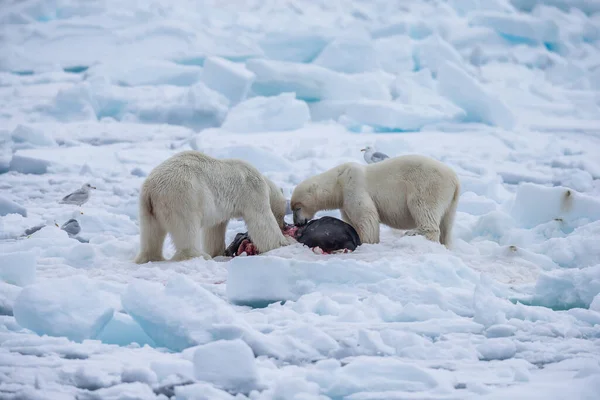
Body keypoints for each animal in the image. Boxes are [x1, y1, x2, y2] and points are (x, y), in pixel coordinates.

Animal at [133, 149, 290, 262]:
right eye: (281, 215)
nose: (284, 225)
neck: (265, 183)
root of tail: (152, 190)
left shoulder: (220, 211)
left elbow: (215, 230)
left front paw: (218, 252)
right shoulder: (253, 192)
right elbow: (262, 221)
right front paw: (284, 242)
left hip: (147, 207)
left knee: (151, 232)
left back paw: (152, 257)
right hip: (182, 197)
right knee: (186, 228)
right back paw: (198, 255)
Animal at [290, 155, 460, 247]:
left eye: (297, 208)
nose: (297, 223)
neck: (338, 181)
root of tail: (455, 179)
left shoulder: (353, 185)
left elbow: (366, 215)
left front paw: (366, 240)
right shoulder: (344, 200)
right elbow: (350, 219)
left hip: (427, 185)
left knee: (423, 207)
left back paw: (415, 232)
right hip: (450, 201)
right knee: (447, 223)